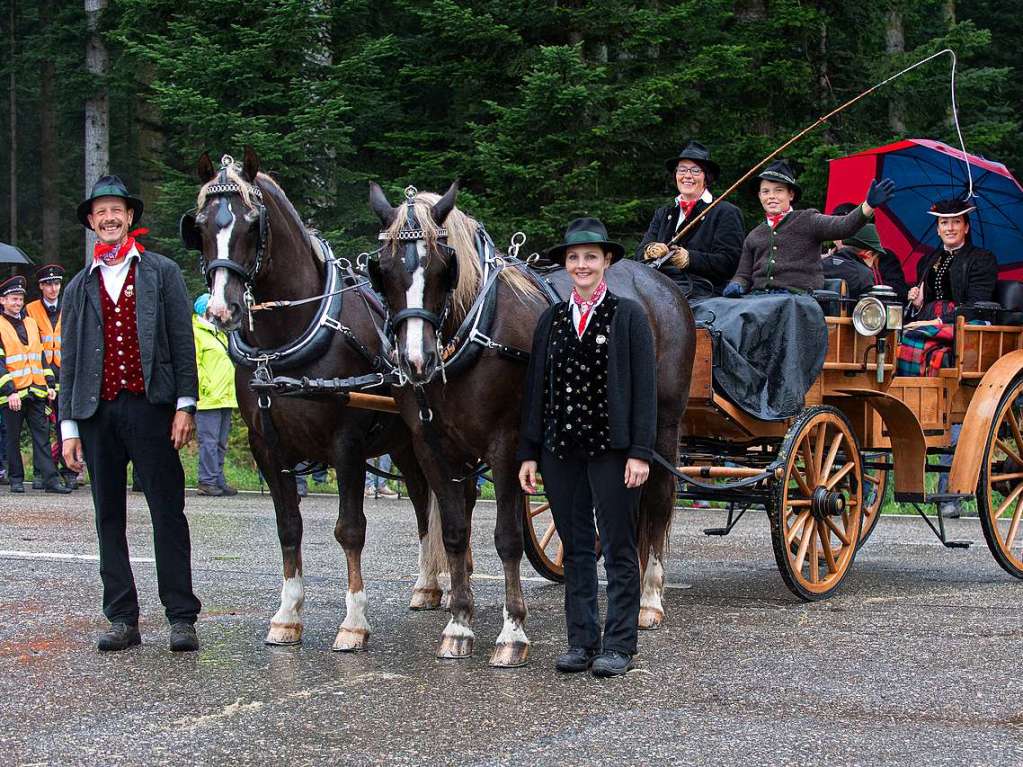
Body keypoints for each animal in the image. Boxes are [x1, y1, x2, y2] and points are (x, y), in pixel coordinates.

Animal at [181, 147, 464, 650]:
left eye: (251, 223)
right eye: (200, 225)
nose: (220, 309)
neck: (288, 338)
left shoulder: (345, 444)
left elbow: (350, 530)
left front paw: (353, 622)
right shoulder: (267, 448)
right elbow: (288, 527)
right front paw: (287, 614)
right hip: (405, 444)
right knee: (421, 502)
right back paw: (428, 586)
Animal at [368, 182, 695, 666]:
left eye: (445, 267)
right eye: (383, 269)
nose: (415, 361)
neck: (473, 329)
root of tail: (661, 281)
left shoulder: (506, 444)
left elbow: (507, 538)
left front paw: (512, 632)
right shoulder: (431, 447)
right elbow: (454, 532)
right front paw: (459, 624)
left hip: (662, 426)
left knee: (657, 501)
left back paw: (649, 599)